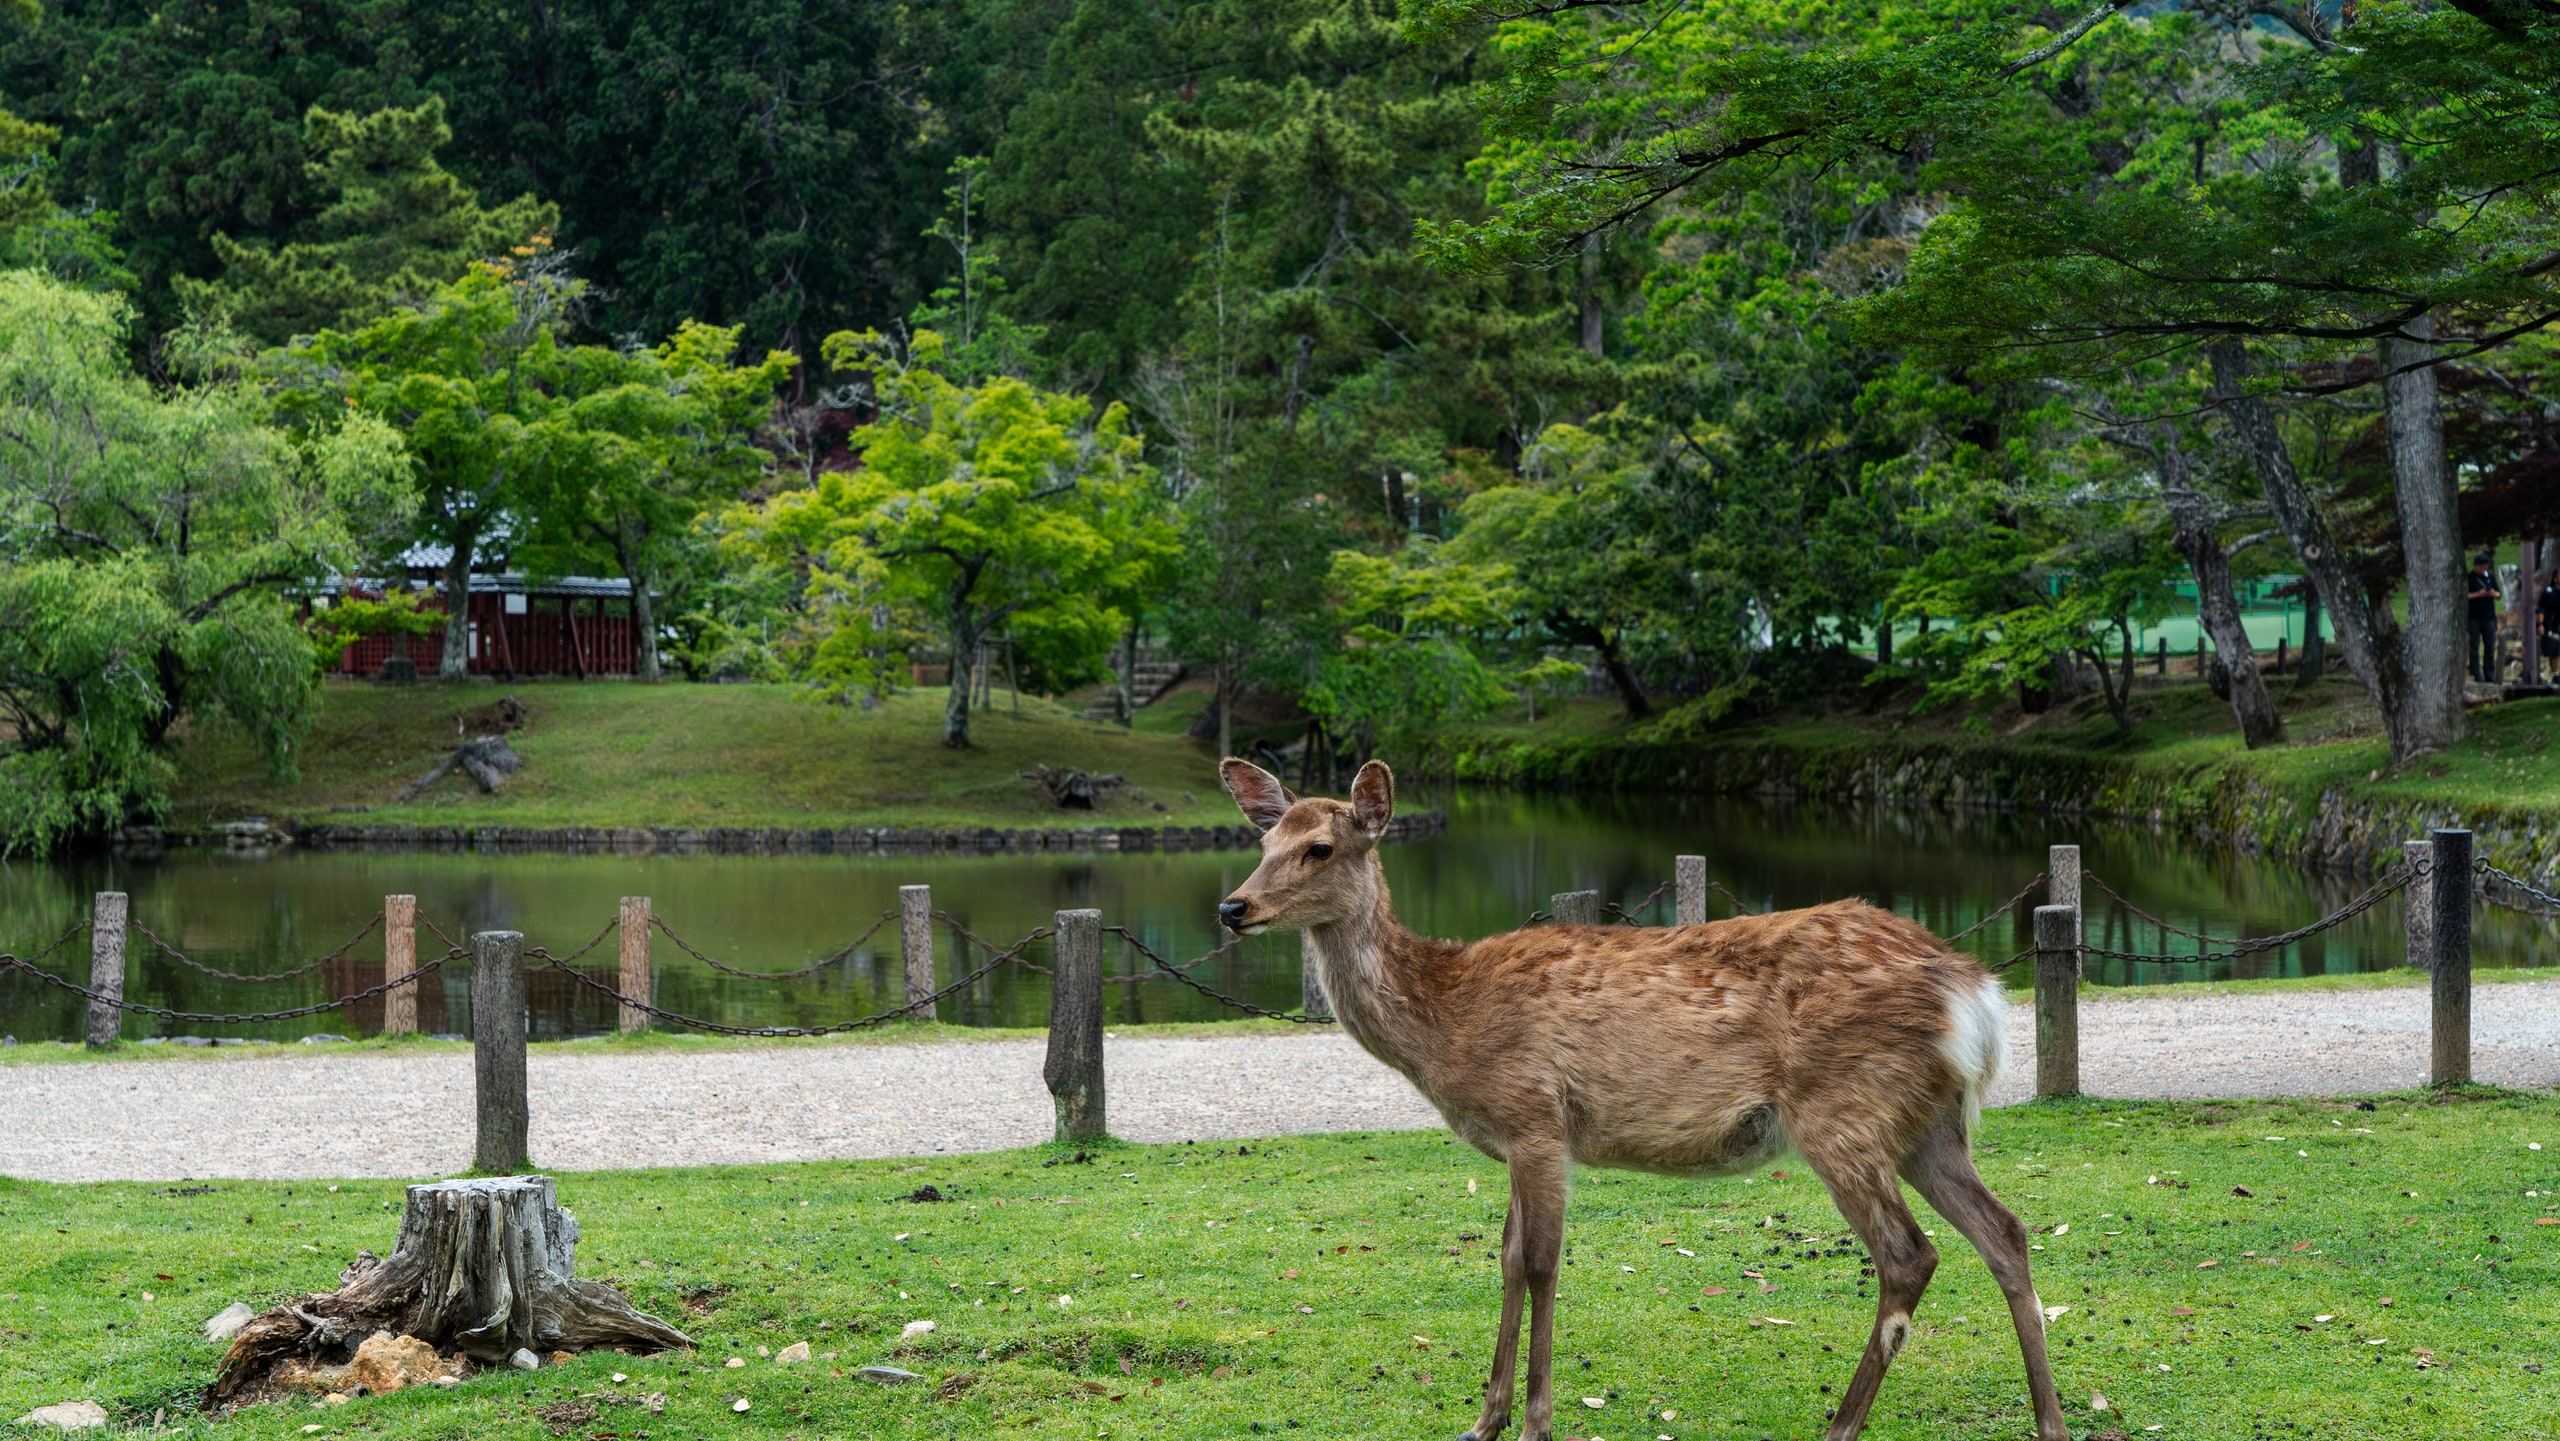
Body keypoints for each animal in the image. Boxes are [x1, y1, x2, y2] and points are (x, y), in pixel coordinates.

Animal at [1214, 757, 2069, 1441]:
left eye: (1320, 846)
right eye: (1262, 842)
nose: (1232, 907)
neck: (1446, 1024)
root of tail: (1977, 992)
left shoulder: (1536, 1117)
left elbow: (1540, 1263)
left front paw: (1534, 1421)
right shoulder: (1519, 1138)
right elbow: (1504, 1258)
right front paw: (1483, 1418)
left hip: (1843, 1109)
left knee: (1910, 1253)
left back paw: (1842, 1424)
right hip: (1930, 1123)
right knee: (2006, 1231)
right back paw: (2050, 1421)